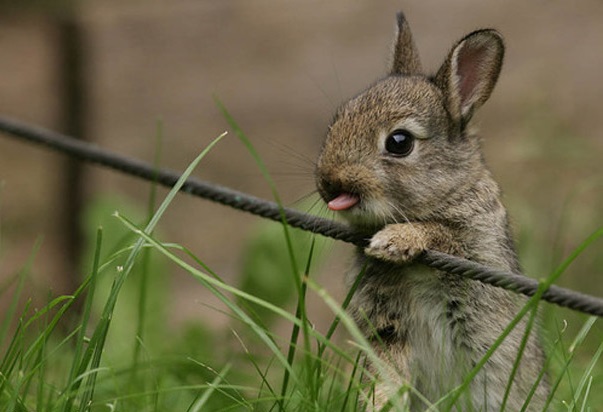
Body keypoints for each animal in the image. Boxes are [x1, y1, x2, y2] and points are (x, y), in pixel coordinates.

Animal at [318, 11, 548, 410]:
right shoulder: (388, 328)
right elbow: (387, 373)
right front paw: (377, 403)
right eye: (340, 117)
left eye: (399, 142)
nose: (328, 181)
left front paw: (394, 241)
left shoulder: (476, 248)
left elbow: (440, 233)